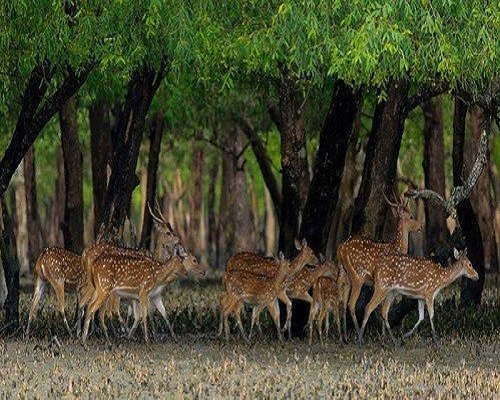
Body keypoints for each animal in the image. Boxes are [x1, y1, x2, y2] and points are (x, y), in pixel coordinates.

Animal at [337, 191, 423, 340]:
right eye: (411, 216)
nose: (420, 227)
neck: (396, 247)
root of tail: (341, 248)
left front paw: (384, 334)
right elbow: (383, 307)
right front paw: (384, 335)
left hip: (343, 274)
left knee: (339, 302)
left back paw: (344, 336)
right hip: (358, 276)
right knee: (351, 304)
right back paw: (358, 334)